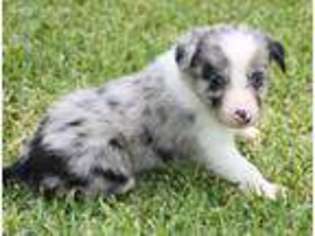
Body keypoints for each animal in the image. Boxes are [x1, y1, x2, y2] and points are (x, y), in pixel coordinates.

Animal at [3, 25, 288, 199]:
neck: (191, 86)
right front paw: (269, 190)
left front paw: (249, 133)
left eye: (257, 79)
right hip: (107, 165)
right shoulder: (213, 146)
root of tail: (31, 156)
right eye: (216, 80)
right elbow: (244, 168)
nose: (243, 114)